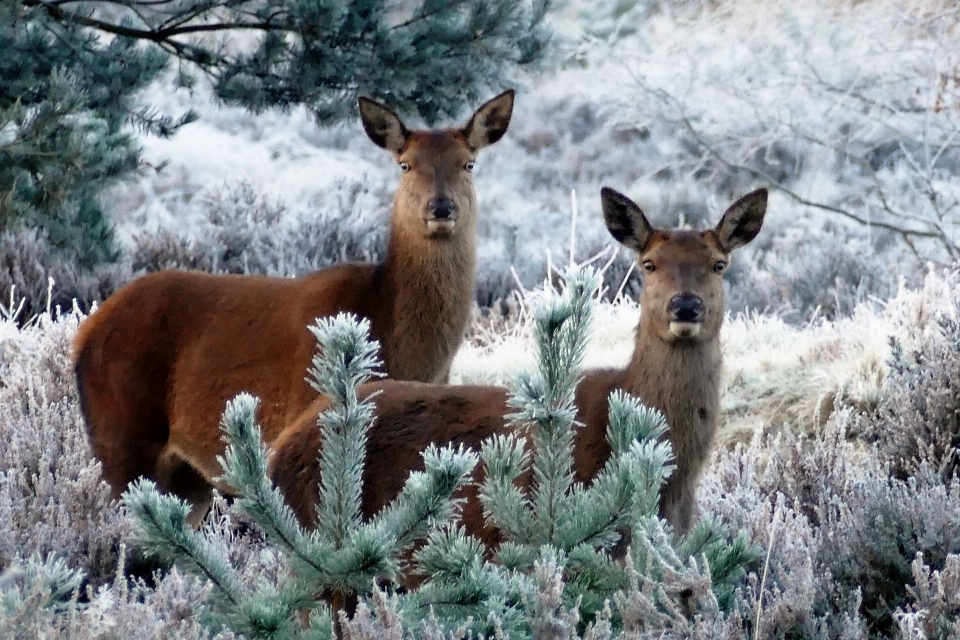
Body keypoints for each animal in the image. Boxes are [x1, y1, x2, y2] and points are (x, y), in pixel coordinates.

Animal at [73, 90, 516, 520]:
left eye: (468, 163)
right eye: (406, 164)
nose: (440, 207)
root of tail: (84, 334)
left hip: (186, 476)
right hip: (122, 435)